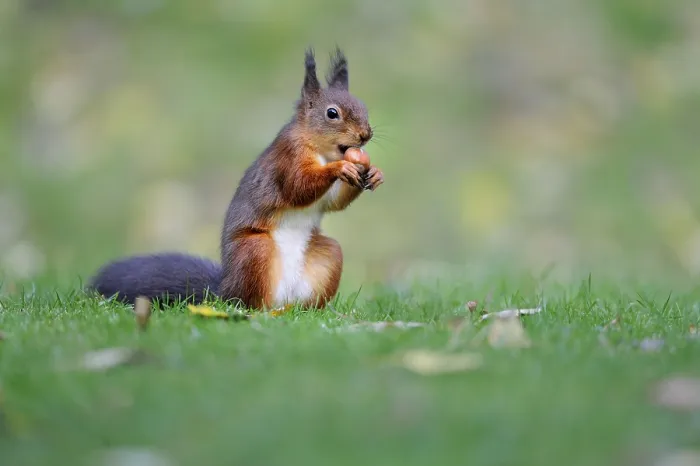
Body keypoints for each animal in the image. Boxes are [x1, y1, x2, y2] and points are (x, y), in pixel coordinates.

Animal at [87, 47, 383, 310]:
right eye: (332, 113)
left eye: (364, 107)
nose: (365, 135)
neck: (321, 151)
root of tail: (224, 291)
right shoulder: (287, 158)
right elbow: (297, 186)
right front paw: (340, 168)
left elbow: (332, 202)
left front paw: (374, 173)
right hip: (254, 250)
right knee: (249, 301)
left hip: (327, 255)